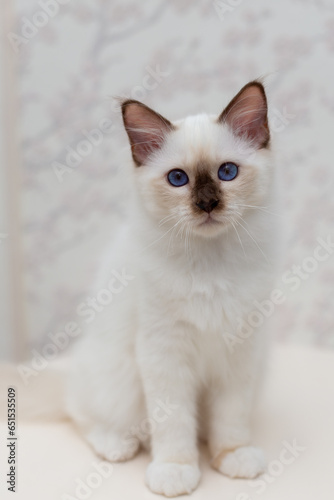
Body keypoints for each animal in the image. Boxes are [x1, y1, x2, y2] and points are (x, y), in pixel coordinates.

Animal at [66, 82, 278, 496]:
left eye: (227, 172)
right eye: (178, 179)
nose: (207, 203)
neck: (211, 264)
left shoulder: (240, 351)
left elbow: (232, 418)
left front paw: (232, 456)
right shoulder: (165, 352)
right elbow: (174, 422)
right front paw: (176, 471)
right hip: (118, 379)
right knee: (81, 411)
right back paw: (118, 445)